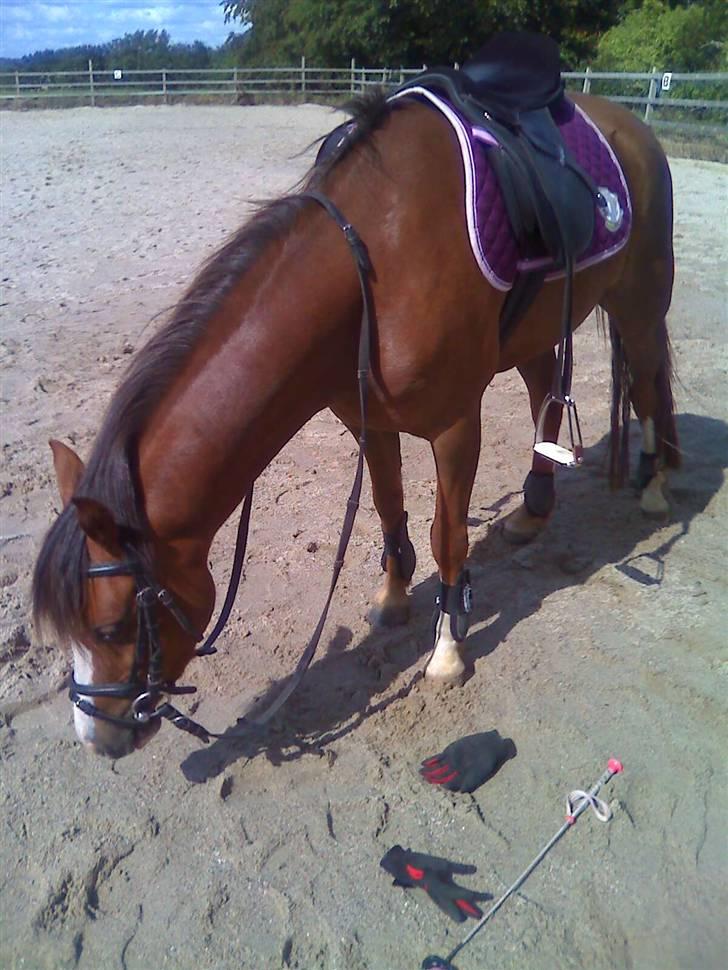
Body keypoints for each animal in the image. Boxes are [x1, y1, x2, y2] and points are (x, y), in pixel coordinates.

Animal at [32, 65, 678, 759]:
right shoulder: (369, 419)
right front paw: (393, 596)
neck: (370, 265)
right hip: (538, 329)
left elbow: (447, 536)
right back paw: (533, 512)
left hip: (641, 298)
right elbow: (388, 507)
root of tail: (632, 126)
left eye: (115, 624)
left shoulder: (455, 425)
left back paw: (656, 484)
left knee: (650, 385)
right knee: (545, 397)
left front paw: (447, 649)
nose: (97, 736)